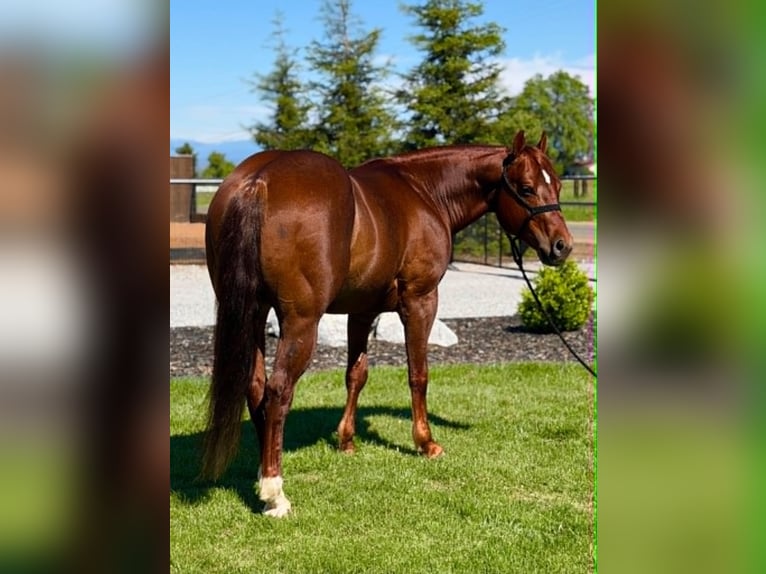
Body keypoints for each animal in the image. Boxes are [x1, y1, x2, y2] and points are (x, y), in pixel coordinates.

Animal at [202, 130, 573, 517]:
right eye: (527, 188)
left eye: (558, 184)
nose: (562, 246)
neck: (425, 191)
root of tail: (259, 181)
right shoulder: (421, 300)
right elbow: (418, 374)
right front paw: (426, 443)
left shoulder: (362, 310)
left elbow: (356, 375)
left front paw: (347, 440)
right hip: (301, 321)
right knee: (278, 391)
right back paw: (275, 491)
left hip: (253, 312)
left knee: (256, 386)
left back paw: (263, 470)